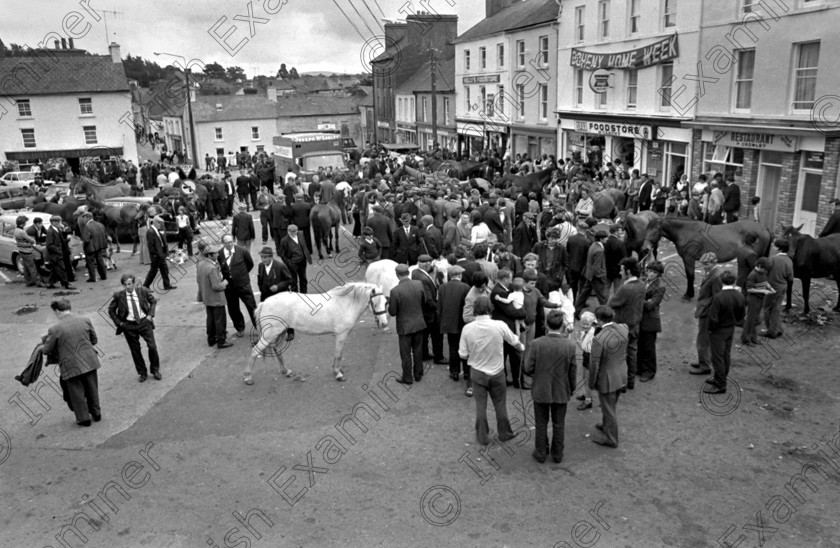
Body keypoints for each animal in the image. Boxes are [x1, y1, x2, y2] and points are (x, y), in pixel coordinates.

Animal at [241, 284, 388, 384]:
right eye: (375, 302)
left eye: (386, 302)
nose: (384, 324)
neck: (345, 303)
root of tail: (264, 303)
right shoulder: (341, 335)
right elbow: (338, 355)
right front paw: (338, 374)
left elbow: (337, 355)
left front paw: (336, 371)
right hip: (270, 335)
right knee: (255, 351)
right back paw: (248, 377)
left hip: (279, 333)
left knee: (277, 350)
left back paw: (286, 371)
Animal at [644, 216, 776, 300]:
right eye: (647, 229)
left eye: (655, 229)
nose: (646, 249)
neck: (686, 232)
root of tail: (765, 229)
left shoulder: (689, 259)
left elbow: (690, 276)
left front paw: (688, 294)